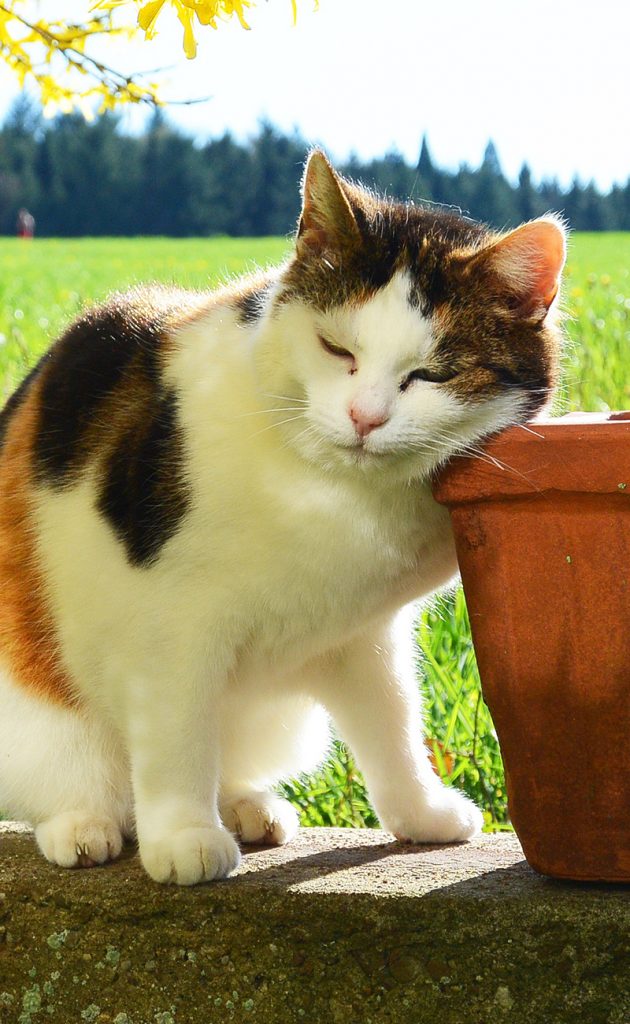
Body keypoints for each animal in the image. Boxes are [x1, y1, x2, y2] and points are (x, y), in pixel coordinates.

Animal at [0, 149, 565, 880]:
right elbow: (177, 736)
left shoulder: (363, 635)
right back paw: (85, 824)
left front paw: (421, 812)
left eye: (432, 374)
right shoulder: (169, 629)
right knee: (76, 776)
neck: (329, 495)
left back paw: (245, 805)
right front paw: (183, 836)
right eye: (336, 349)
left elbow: (392, 722)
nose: (364, 417)